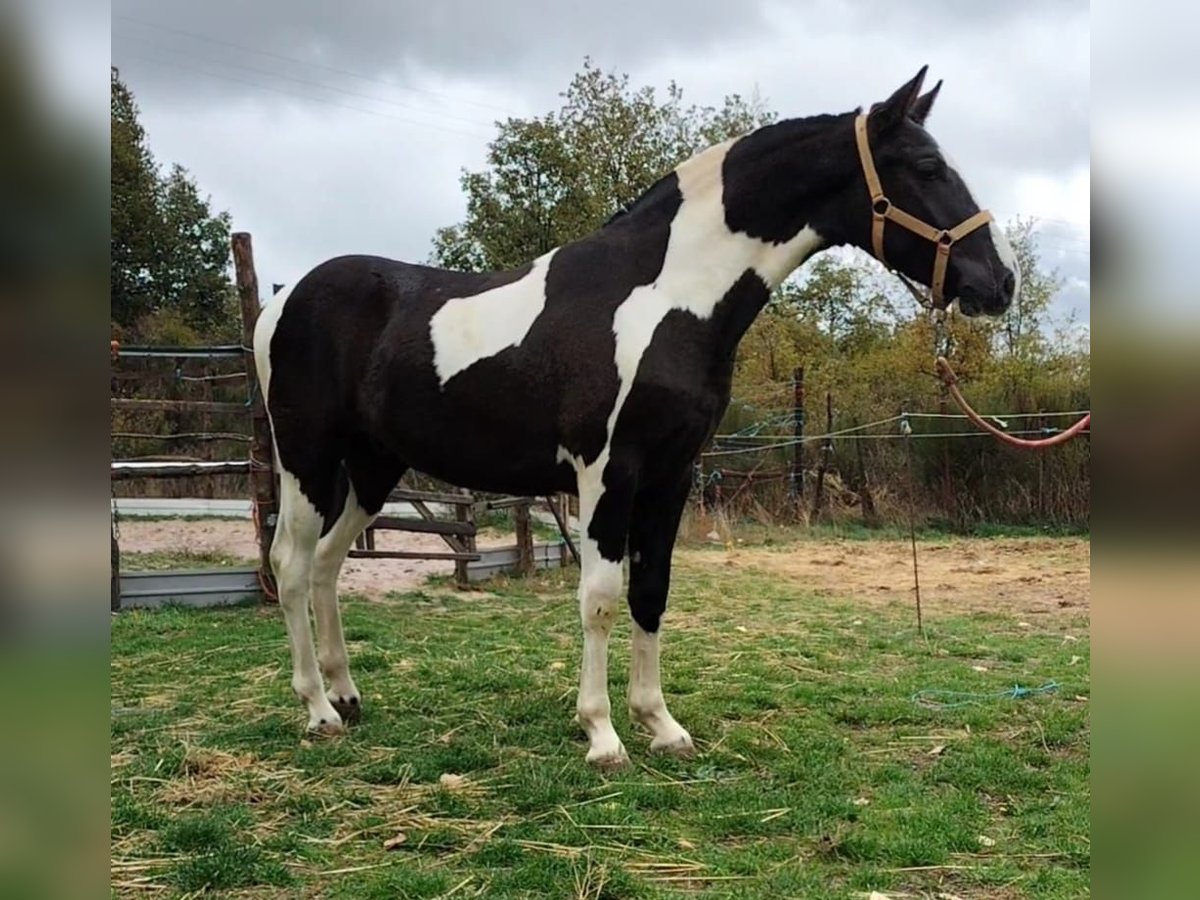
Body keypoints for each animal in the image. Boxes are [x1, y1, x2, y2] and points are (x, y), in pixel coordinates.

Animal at [255, 68, 1022, 768]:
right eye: (926, 167)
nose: (998, 282)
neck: (666, 296)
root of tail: (281, 300)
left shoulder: (671, 475)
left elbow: (651, 592)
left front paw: (661, 725)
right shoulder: (607, 474)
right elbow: (599, 595)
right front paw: (602, 736)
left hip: (373, 467)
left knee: (326, 565)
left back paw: (348, 696)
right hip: (307, 458)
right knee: (290, 564)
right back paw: (318, 711)